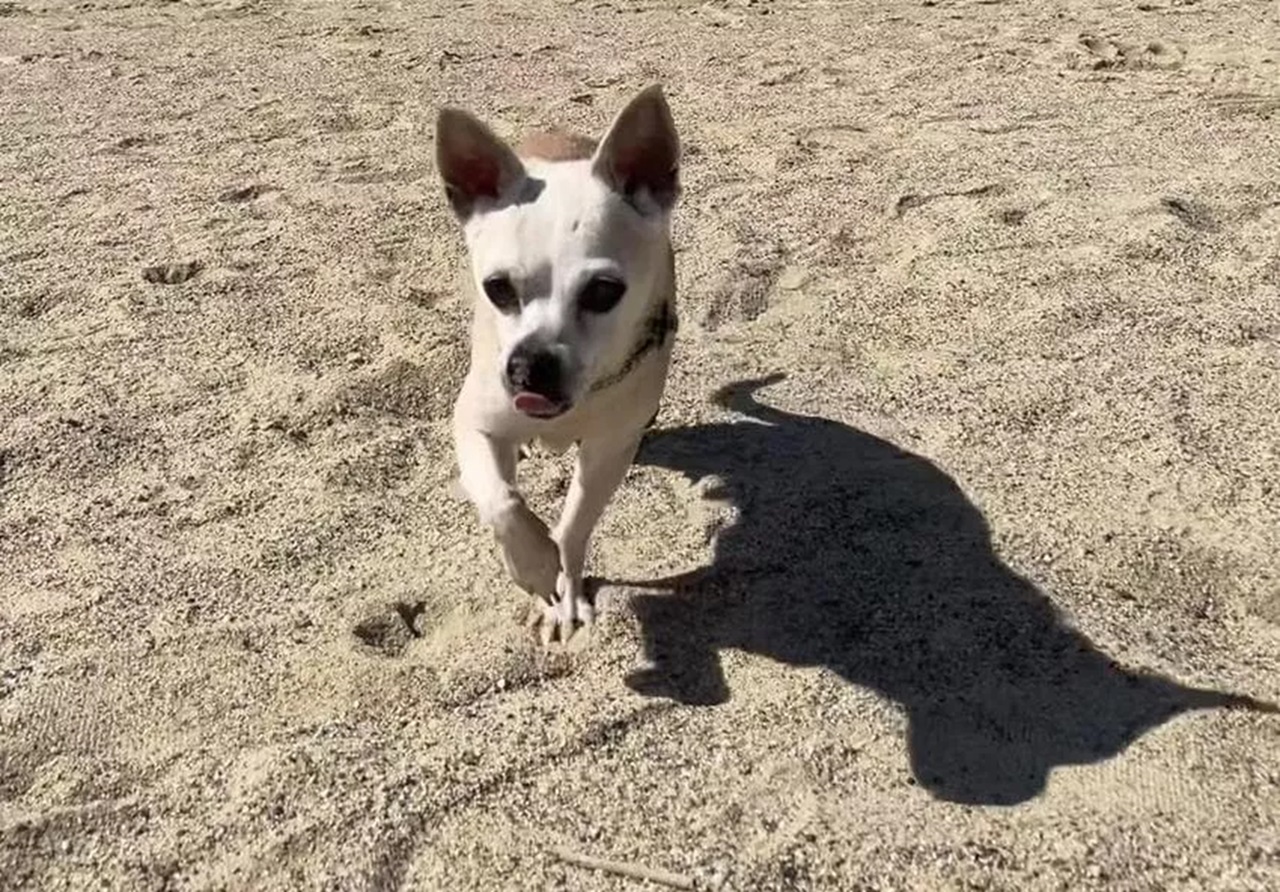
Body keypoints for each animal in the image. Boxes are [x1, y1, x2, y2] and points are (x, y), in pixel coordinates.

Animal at [437, 85, 686, 639]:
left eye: (603, 292)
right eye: (498, 289)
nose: (530, 364)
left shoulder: (607, 451)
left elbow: (572, 527)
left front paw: (564, 590)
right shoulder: (474, 424)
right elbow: (503, 501)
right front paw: (531, 566)